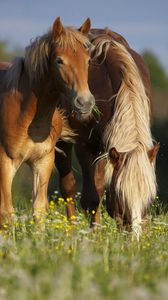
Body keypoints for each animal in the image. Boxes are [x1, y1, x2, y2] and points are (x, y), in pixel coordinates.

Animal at [0, 17, 95, 225]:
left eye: (88, 60)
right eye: (59, 60)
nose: (84, 102)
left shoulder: (43, 161)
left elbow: (39, 209)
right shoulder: (5, 161)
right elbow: (7, 212)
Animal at [55, 28, 160, 239]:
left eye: (149, 197)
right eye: (120, 195)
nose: (135, 239)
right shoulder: (85, 146)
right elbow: (90, 199)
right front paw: (93, 237)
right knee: (68, 187)